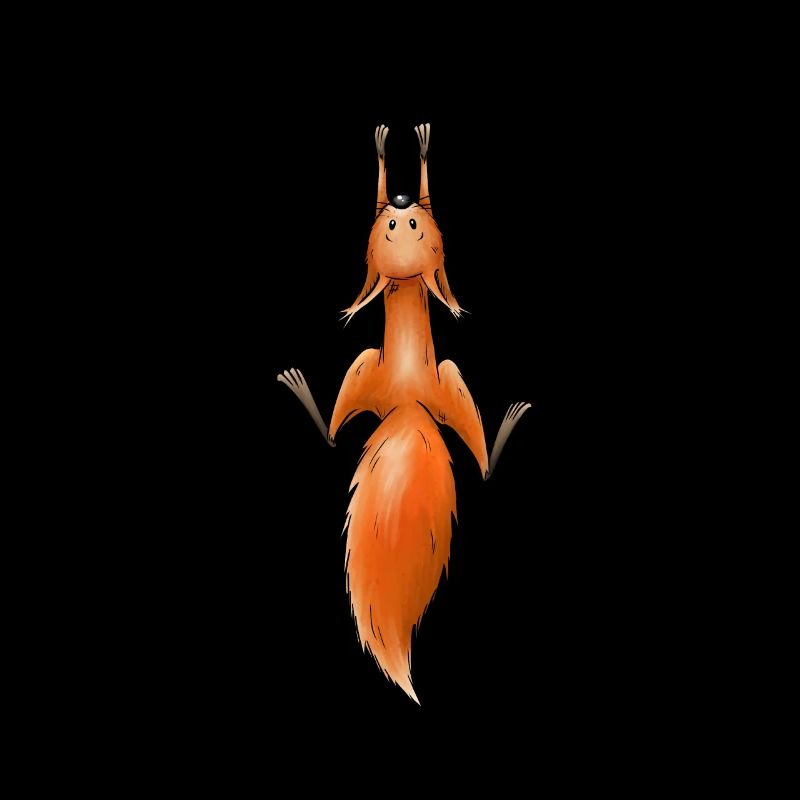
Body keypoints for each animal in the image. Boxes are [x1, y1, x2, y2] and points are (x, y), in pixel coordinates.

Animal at [277, 123, 530, 704]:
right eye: (393, 224)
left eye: (412, 222)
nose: (399, 203)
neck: (409, 280)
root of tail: (410, 403)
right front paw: (389, 152)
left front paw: (414, 150)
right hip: (384, 367)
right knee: (338, 436)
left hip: (425, 373)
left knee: (478, 465)